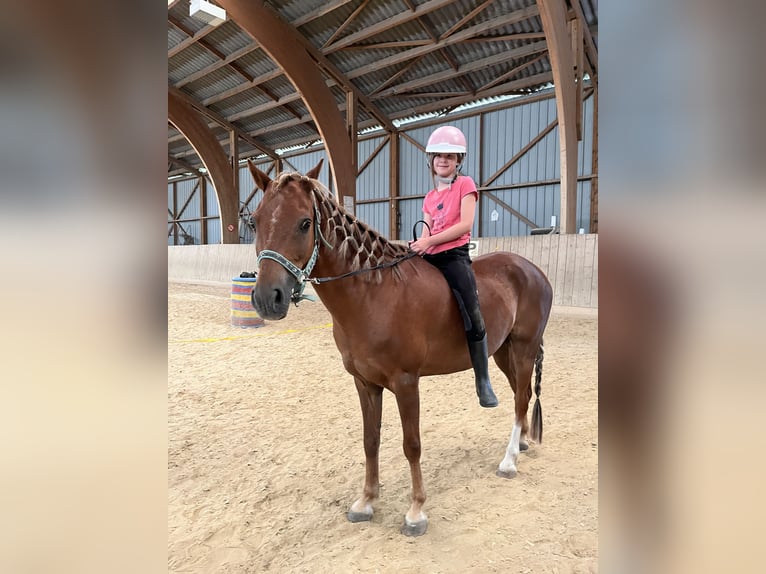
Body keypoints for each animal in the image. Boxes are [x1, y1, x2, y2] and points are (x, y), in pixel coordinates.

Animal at [248, 159, 553, 537]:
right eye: (255, 221)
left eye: (305, 223)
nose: (267, 299)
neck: (374, 294)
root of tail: (534, 270)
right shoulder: (365, 383)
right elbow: (370, 440)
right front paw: (366, 502)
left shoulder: (406, 382)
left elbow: (412, 445)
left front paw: (416, 511)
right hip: (502, 352)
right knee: (518, 395)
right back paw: (521, 442)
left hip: (524, 349)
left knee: (522, 398)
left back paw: (509, 461)